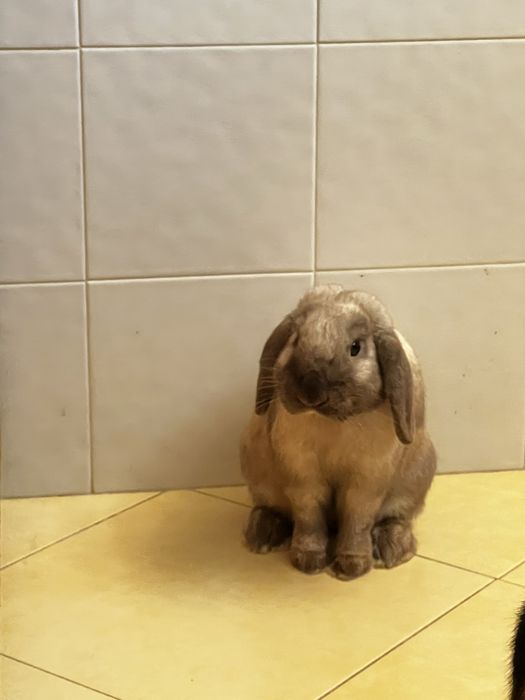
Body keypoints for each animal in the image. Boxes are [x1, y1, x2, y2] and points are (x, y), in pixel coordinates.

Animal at [240, 285, 436, 580]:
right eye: (295, 339)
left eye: (356, 347)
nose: (311, 391)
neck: (334, 424)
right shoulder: (302, 476)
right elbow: (309, 515)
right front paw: (308, 561)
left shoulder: (367, 481)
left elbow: (358, 517)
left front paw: (352, 567)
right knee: (273, 508)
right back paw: (264, 534)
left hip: (416, 480)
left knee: (396, 517)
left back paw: (390, 548)